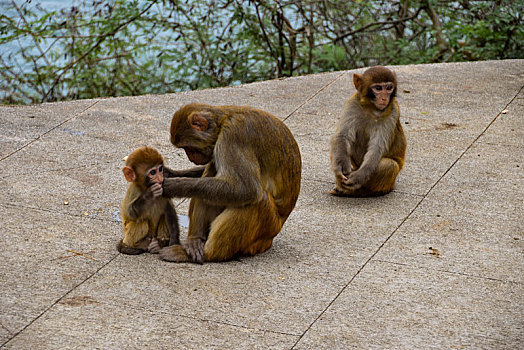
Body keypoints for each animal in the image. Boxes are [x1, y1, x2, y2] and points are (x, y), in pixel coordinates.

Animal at [332, 66, 406, 197]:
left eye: (389, 88)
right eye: (378, 88)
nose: (384, 98)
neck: (372, 109)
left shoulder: (392, 112)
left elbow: (377, 148)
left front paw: (357, 178)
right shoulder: (353, 103)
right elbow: (342, 136)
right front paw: (341, 167)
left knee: (390, 165)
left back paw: (361, 190)